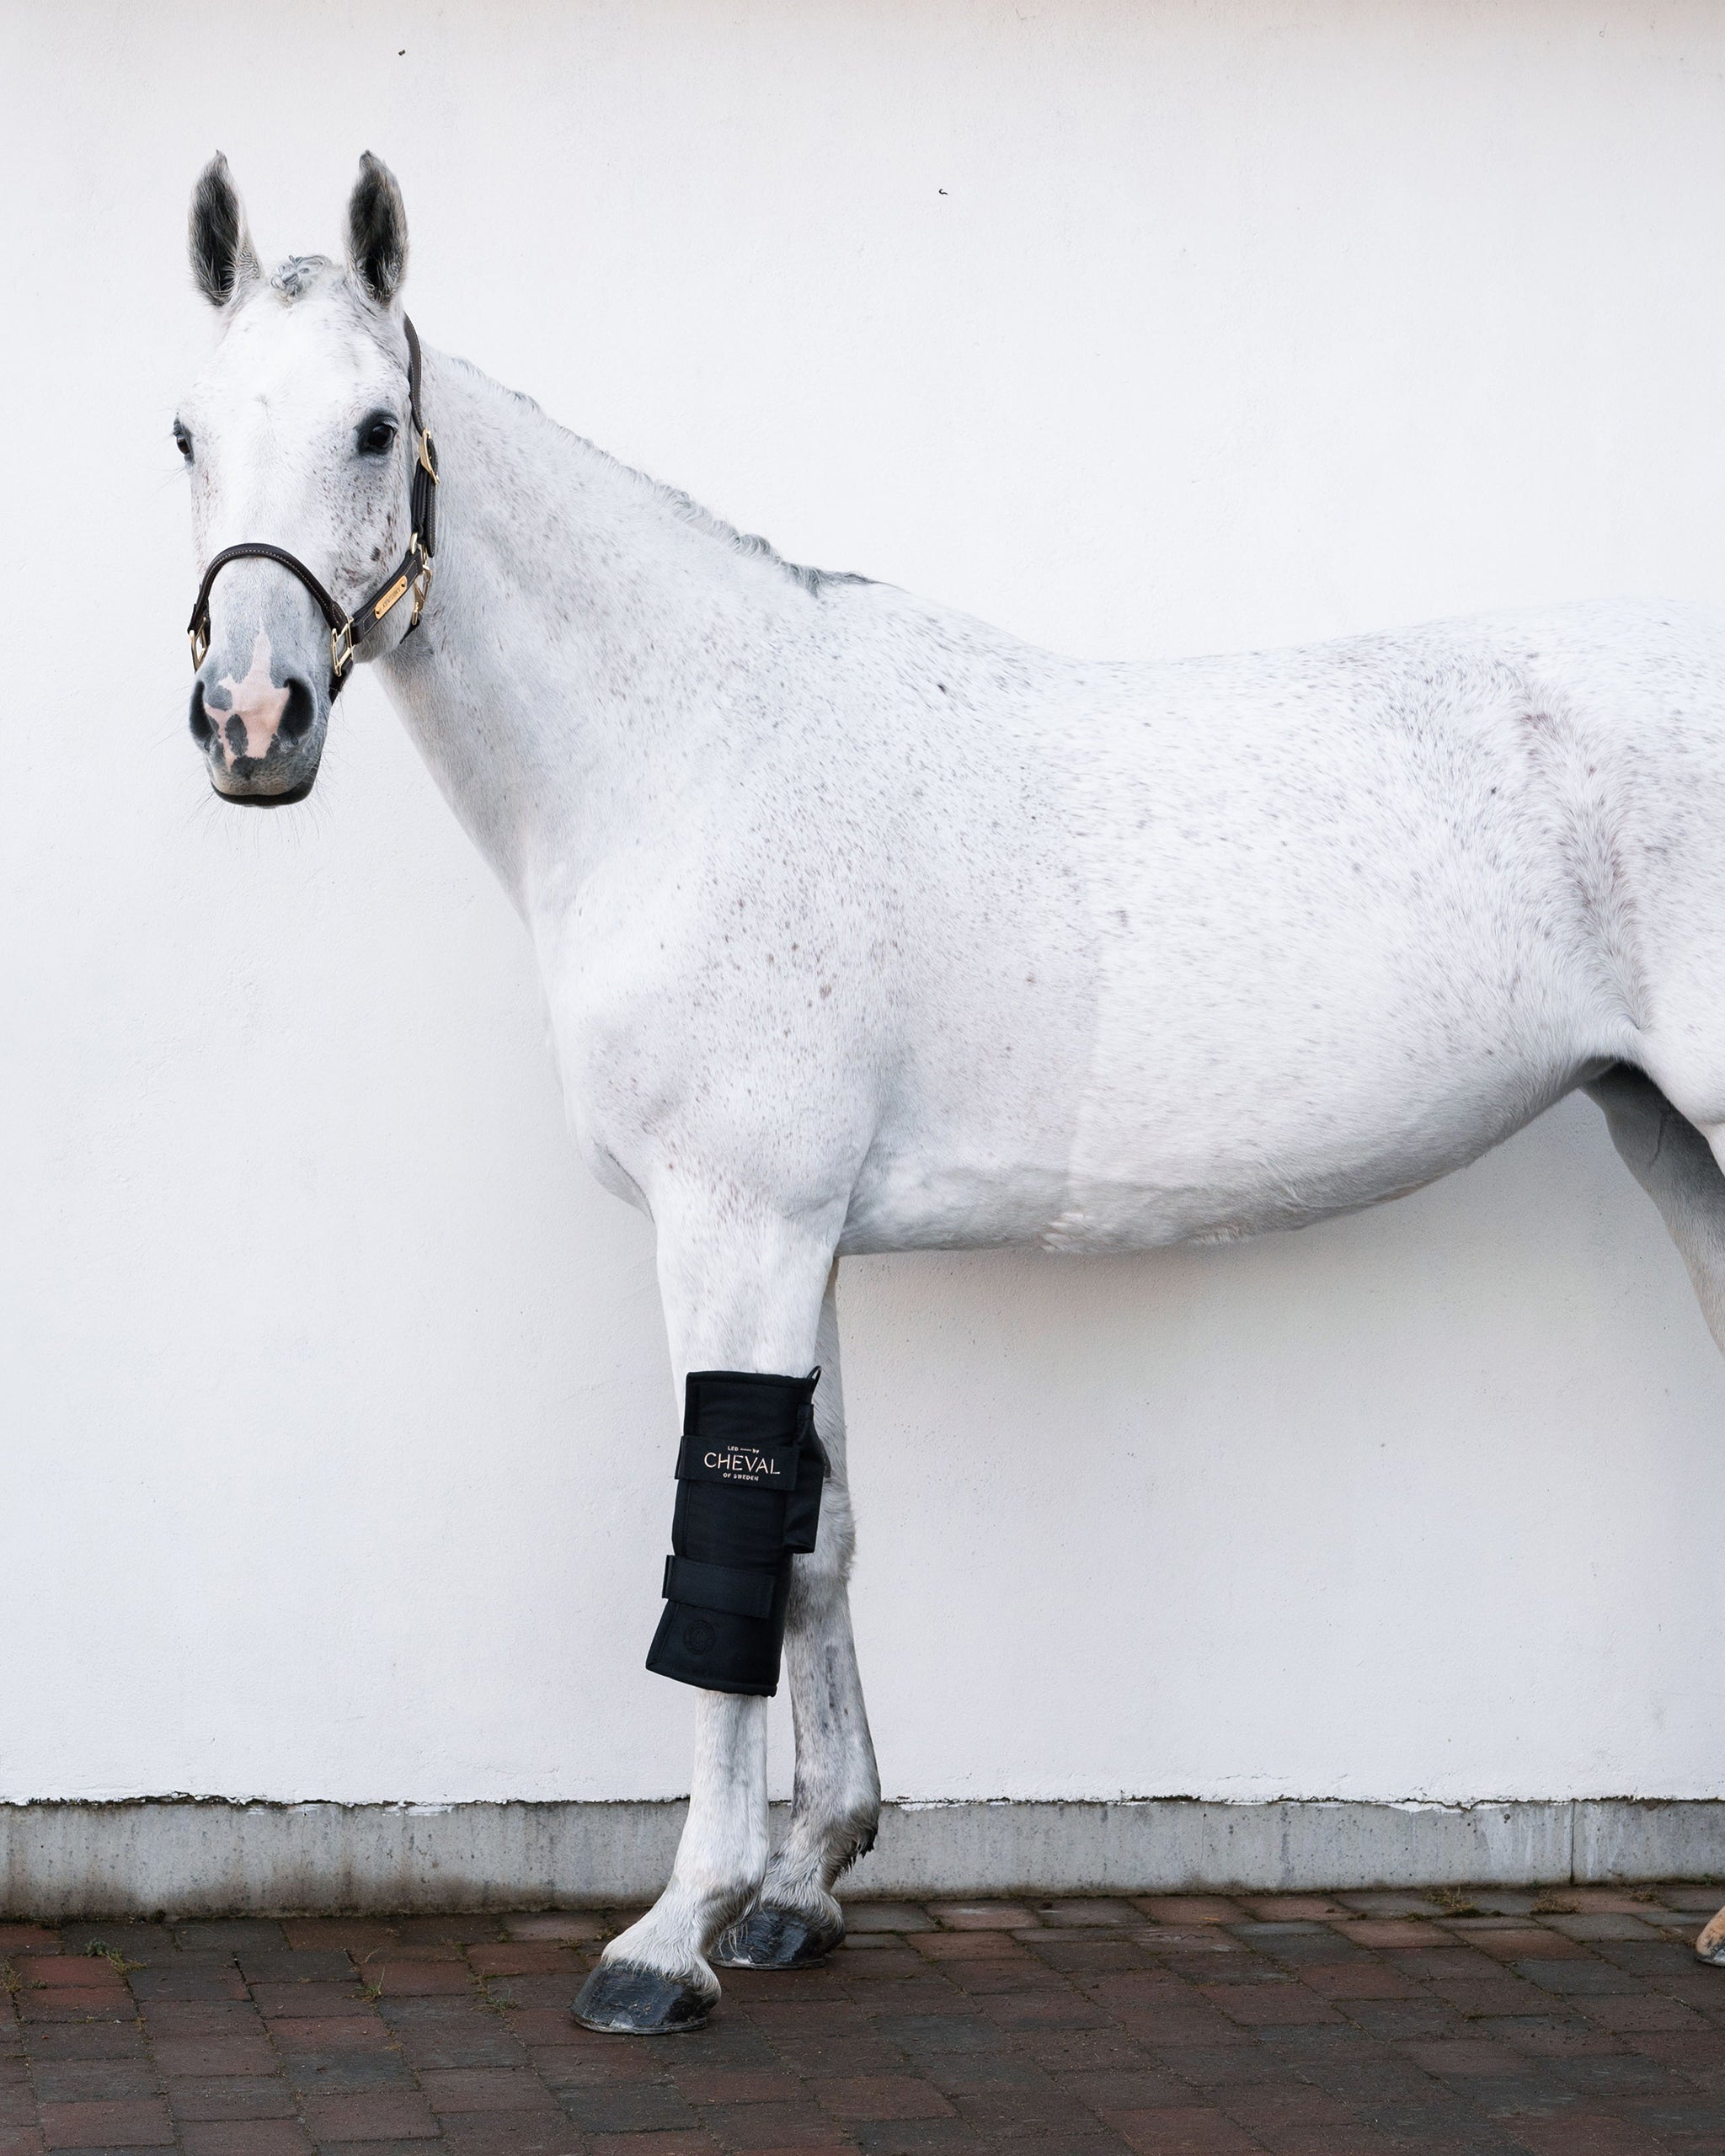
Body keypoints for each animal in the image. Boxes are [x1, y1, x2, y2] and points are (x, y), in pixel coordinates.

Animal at [174, 151, 1725, 2032]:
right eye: (185, 429)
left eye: (375, 426)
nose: (253, 716)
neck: (692, 752)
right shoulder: (802, 1232)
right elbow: (814, 1534)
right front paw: (800, 1884)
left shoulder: (735, 1224)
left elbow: (723, 1547)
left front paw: (669, 1932)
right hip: (1669, 1139)